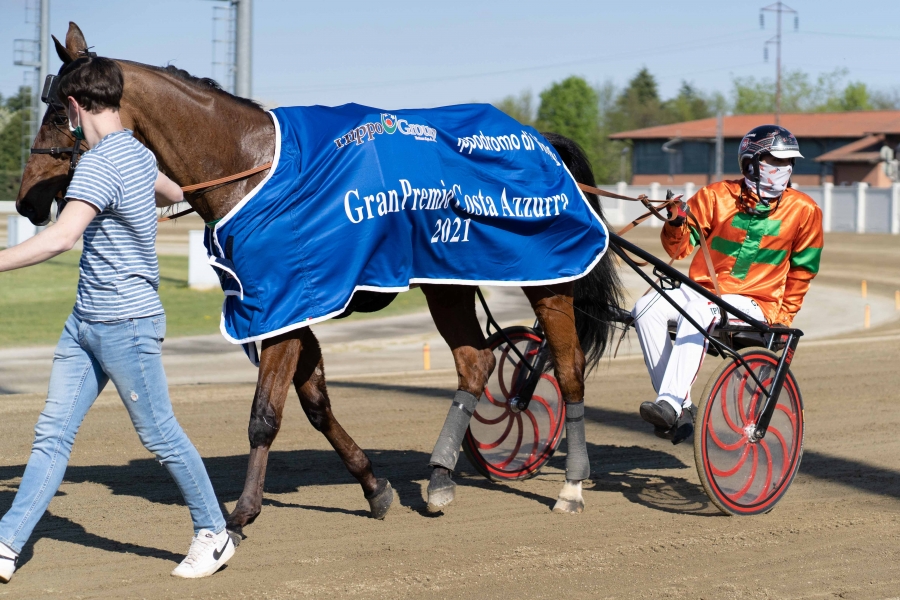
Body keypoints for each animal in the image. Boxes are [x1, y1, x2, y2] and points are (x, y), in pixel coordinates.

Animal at [19, 23, 624, 536]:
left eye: (59, 111)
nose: (26, 200)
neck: (251, 167)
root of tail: (538, 139)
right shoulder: (289, 307)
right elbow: (315, 404)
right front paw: (375, 487)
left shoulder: (283, 307)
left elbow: (265, 415)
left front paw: (242, 512)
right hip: (447, 279)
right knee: (475, 363)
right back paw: (439, 480)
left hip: (546, 277)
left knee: (568, 369)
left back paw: (571, 485)